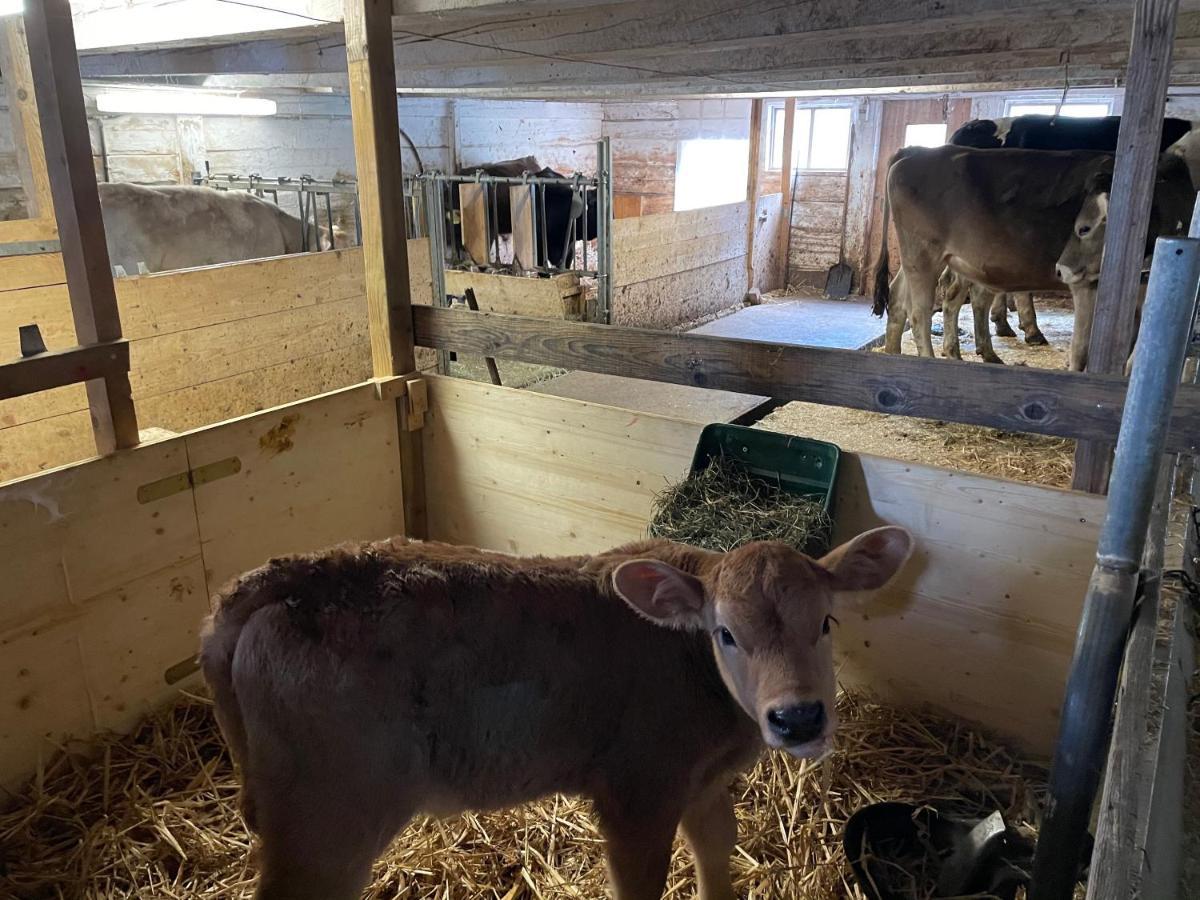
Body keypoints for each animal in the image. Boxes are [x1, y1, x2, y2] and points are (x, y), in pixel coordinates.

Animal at [199, 528, 907, 900]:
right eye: (726, 633)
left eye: (825, 621)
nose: (799, 719)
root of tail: (286, 578)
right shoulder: (636, 795)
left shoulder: (701, 783)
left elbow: (715, 851)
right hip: (325, 820)